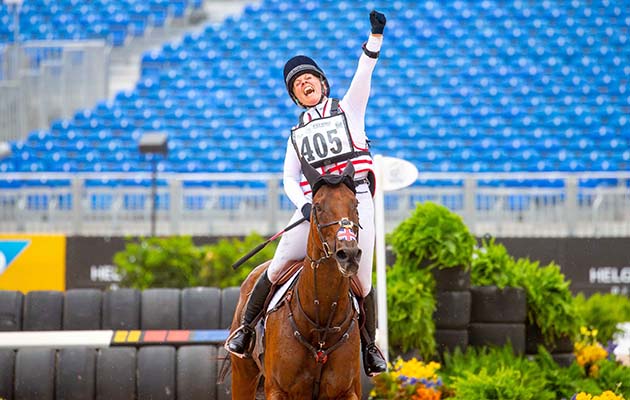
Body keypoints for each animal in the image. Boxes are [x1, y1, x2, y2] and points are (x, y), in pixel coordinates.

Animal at [230, 162, 362, 400]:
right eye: (317, 207)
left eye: (355, 204)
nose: (348, 254)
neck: (321, 324)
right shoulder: (277, 391)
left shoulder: (346, 392)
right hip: (243, 374)